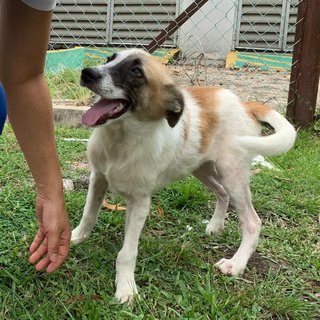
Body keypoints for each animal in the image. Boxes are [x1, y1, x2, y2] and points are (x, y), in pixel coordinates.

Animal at [71, 48, 296, 302]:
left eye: (136, 71)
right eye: (110, 59)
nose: (87, 73)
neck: (121, 140)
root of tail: (244, 104)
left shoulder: (140, 202)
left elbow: (128, 252)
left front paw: (126, 287)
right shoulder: (98, 178)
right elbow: (89, 215)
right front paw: (74, 238)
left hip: (232, 174)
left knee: (252, 221)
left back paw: (236, 264)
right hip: (201, 168)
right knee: (222, 193)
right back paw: (215, 226)